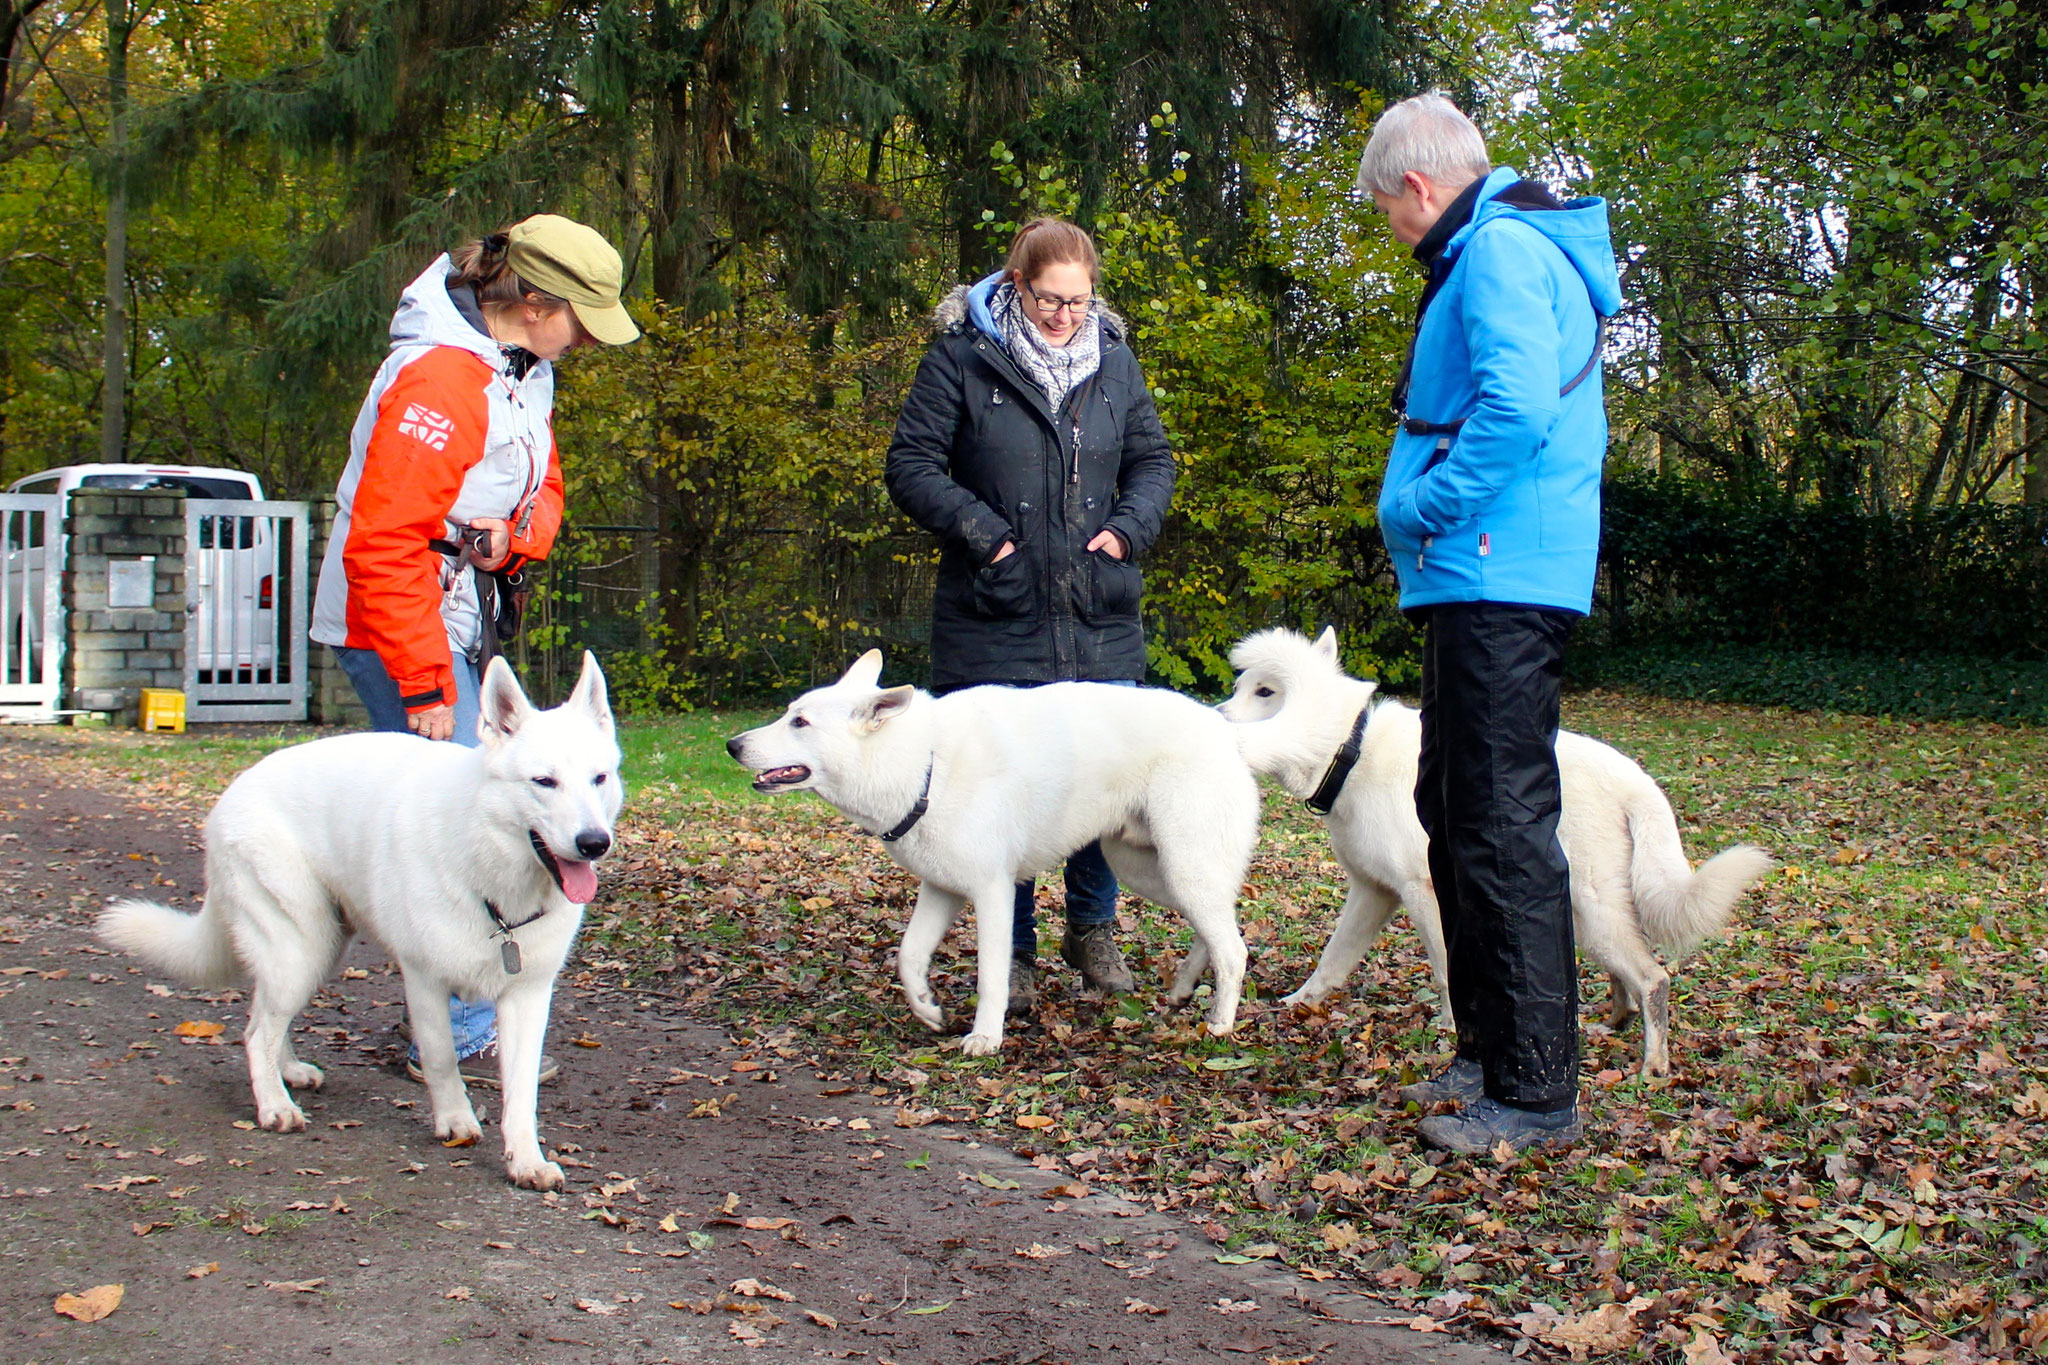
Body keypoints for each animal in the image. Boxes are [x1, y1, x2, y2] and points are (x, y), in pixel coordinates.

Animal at [101, 654, 614, 1186]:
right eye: (544, 782)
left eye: (599, 779)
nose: (594, 843)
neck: (490, 872)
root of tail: (232, 791)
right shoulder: (425, 981)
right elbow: (441, 1058)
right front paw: (455, 1120)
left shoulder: (528, 996)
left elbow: (522, 1093)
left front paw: (526, 1159)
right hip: (301, 951)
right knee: (255, 1033)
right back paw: (274, 1105)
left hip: (318, 951)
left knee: (263, 1018)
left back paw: (288, 1072)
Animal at [720, 654, 1261, 1055]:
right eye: (789, 713)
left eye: (800, 722)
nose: (732, 745)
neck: (925, 766)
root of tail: (1226, 733)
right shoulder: (941, 890)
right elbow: (908, 957)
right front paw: (926, 1008)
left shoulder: (993, 895)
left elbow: (991, 978)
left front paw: (985, 1037)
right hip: (1154, 873)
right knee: (1216, 931)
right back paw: (1184, 989)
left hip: (1182, 869)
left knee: (1234, 950)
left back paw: (1219, 1025)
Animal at [1212, 630, 1777, 1080]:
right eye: (1241, 688)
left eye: (1266, 691)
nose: (1213, 719)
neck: (1350, 752)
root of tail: (1636, 780)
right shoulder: (1373, 894)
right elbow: (1332, 961)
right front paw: (1297, 1005)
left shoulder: (1424, 893)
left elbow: (1444, 970)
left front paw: (1450, 1030)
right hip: (1583, 914)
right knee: (1628, 977)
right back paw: (1611, 1025)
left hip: (1594, 914)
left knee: (1654, 978)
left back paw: (1653, 1066)